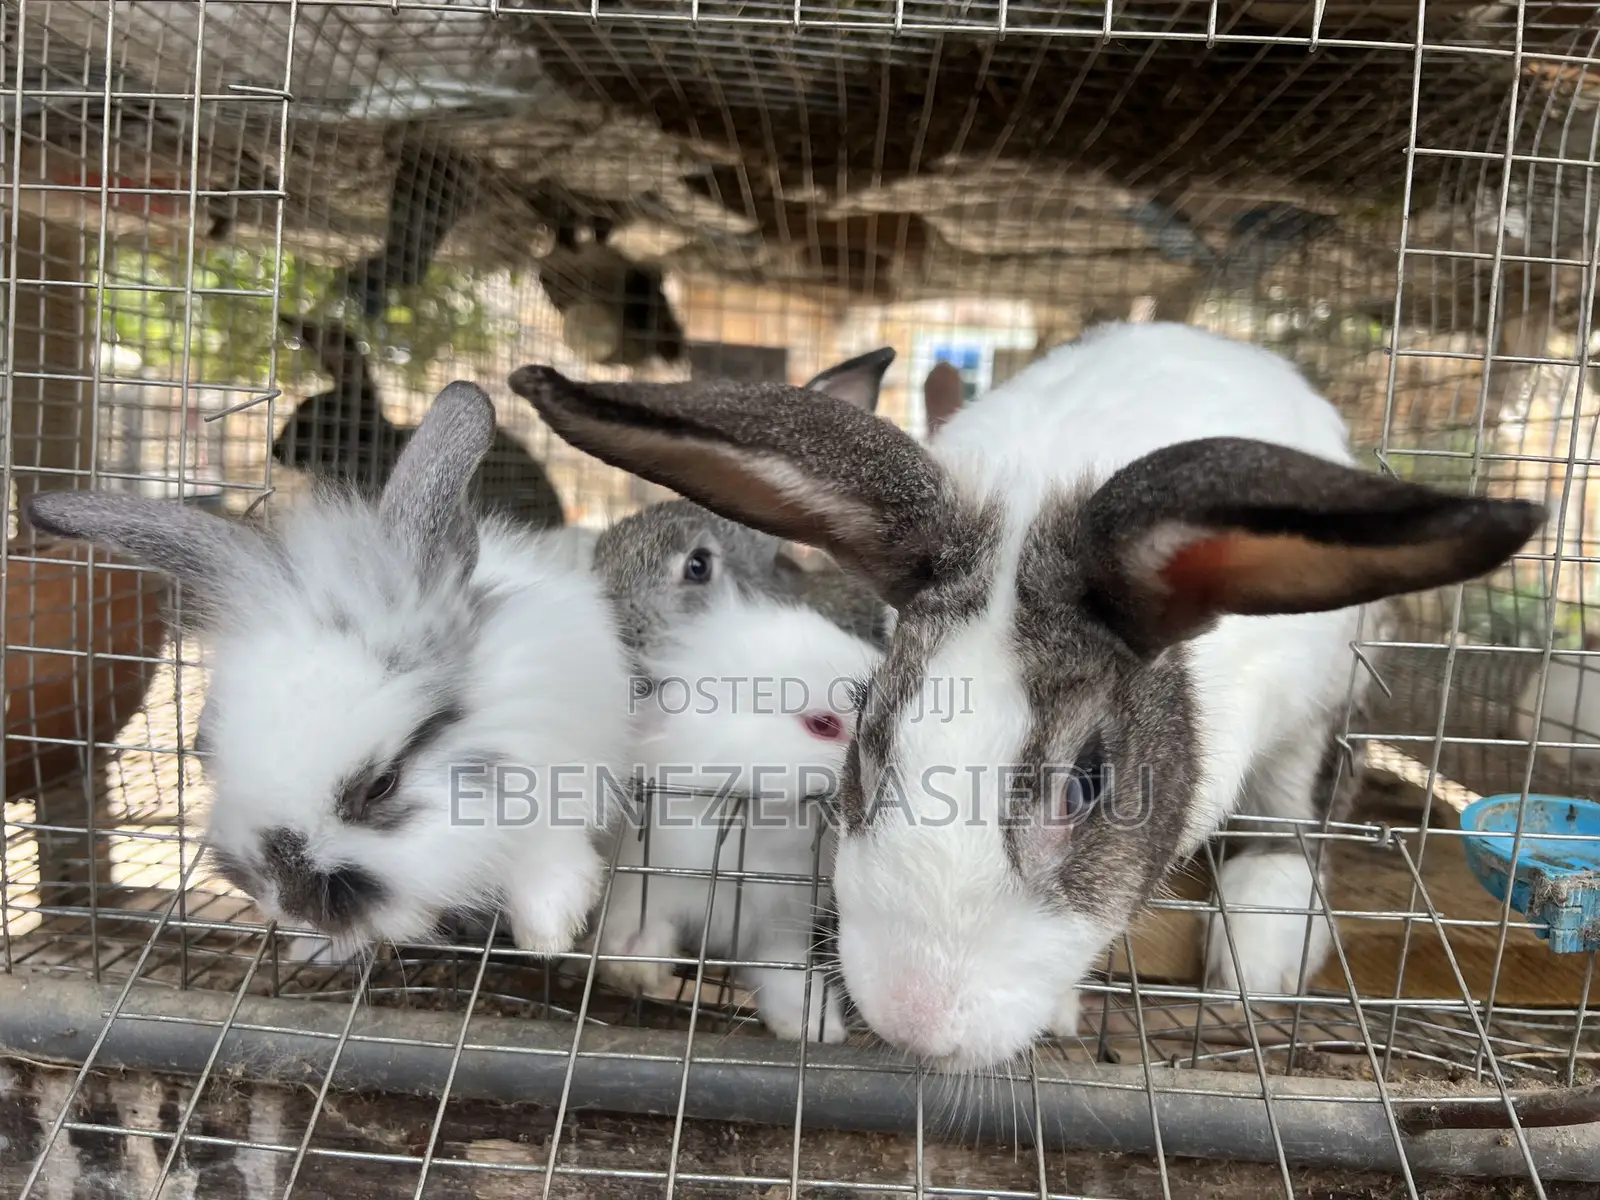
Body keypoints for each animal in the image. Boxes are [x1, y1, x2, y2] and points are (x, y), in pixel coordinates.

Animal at [27, 381, 632, 961]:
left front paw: (549, 935)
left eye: (381, 786)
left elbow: (546, 856)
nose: (289, 903)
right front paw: (315, 948)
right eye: (202, 749)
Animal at [596, 591, 881, 1042]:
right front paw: (637, 965)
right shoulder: (646, 880)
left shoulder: (775, 927)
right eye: (822, 725)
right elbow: (636, 917)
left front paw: (816, 1028)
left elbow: (784, 973)